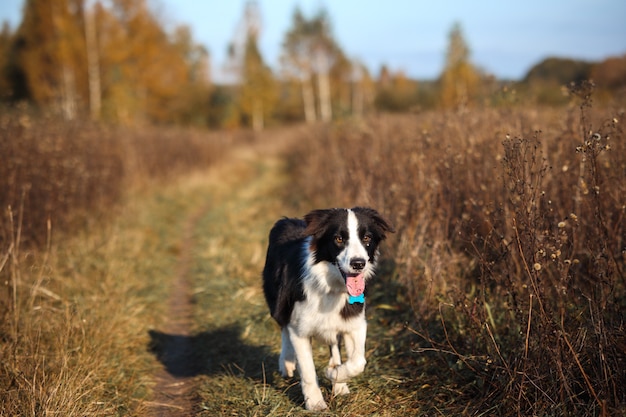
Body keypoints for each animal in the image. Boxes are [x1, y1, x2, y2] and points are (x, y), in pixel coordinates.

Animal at [262, 206, 392, 408]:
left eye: (367, 238)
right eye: (338, 239)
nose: (358, 264)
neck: (330, 286)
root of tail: (286, 220)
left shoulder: (355, 321)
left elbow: (358, 362)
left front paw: (333, 374)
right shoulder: (300, 329)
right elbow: (308, 370)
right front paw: (315, 404)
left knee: (334, 344)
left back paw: (339, 383)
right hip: (277, 301)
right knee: (284, 325)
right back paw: (287, 362)